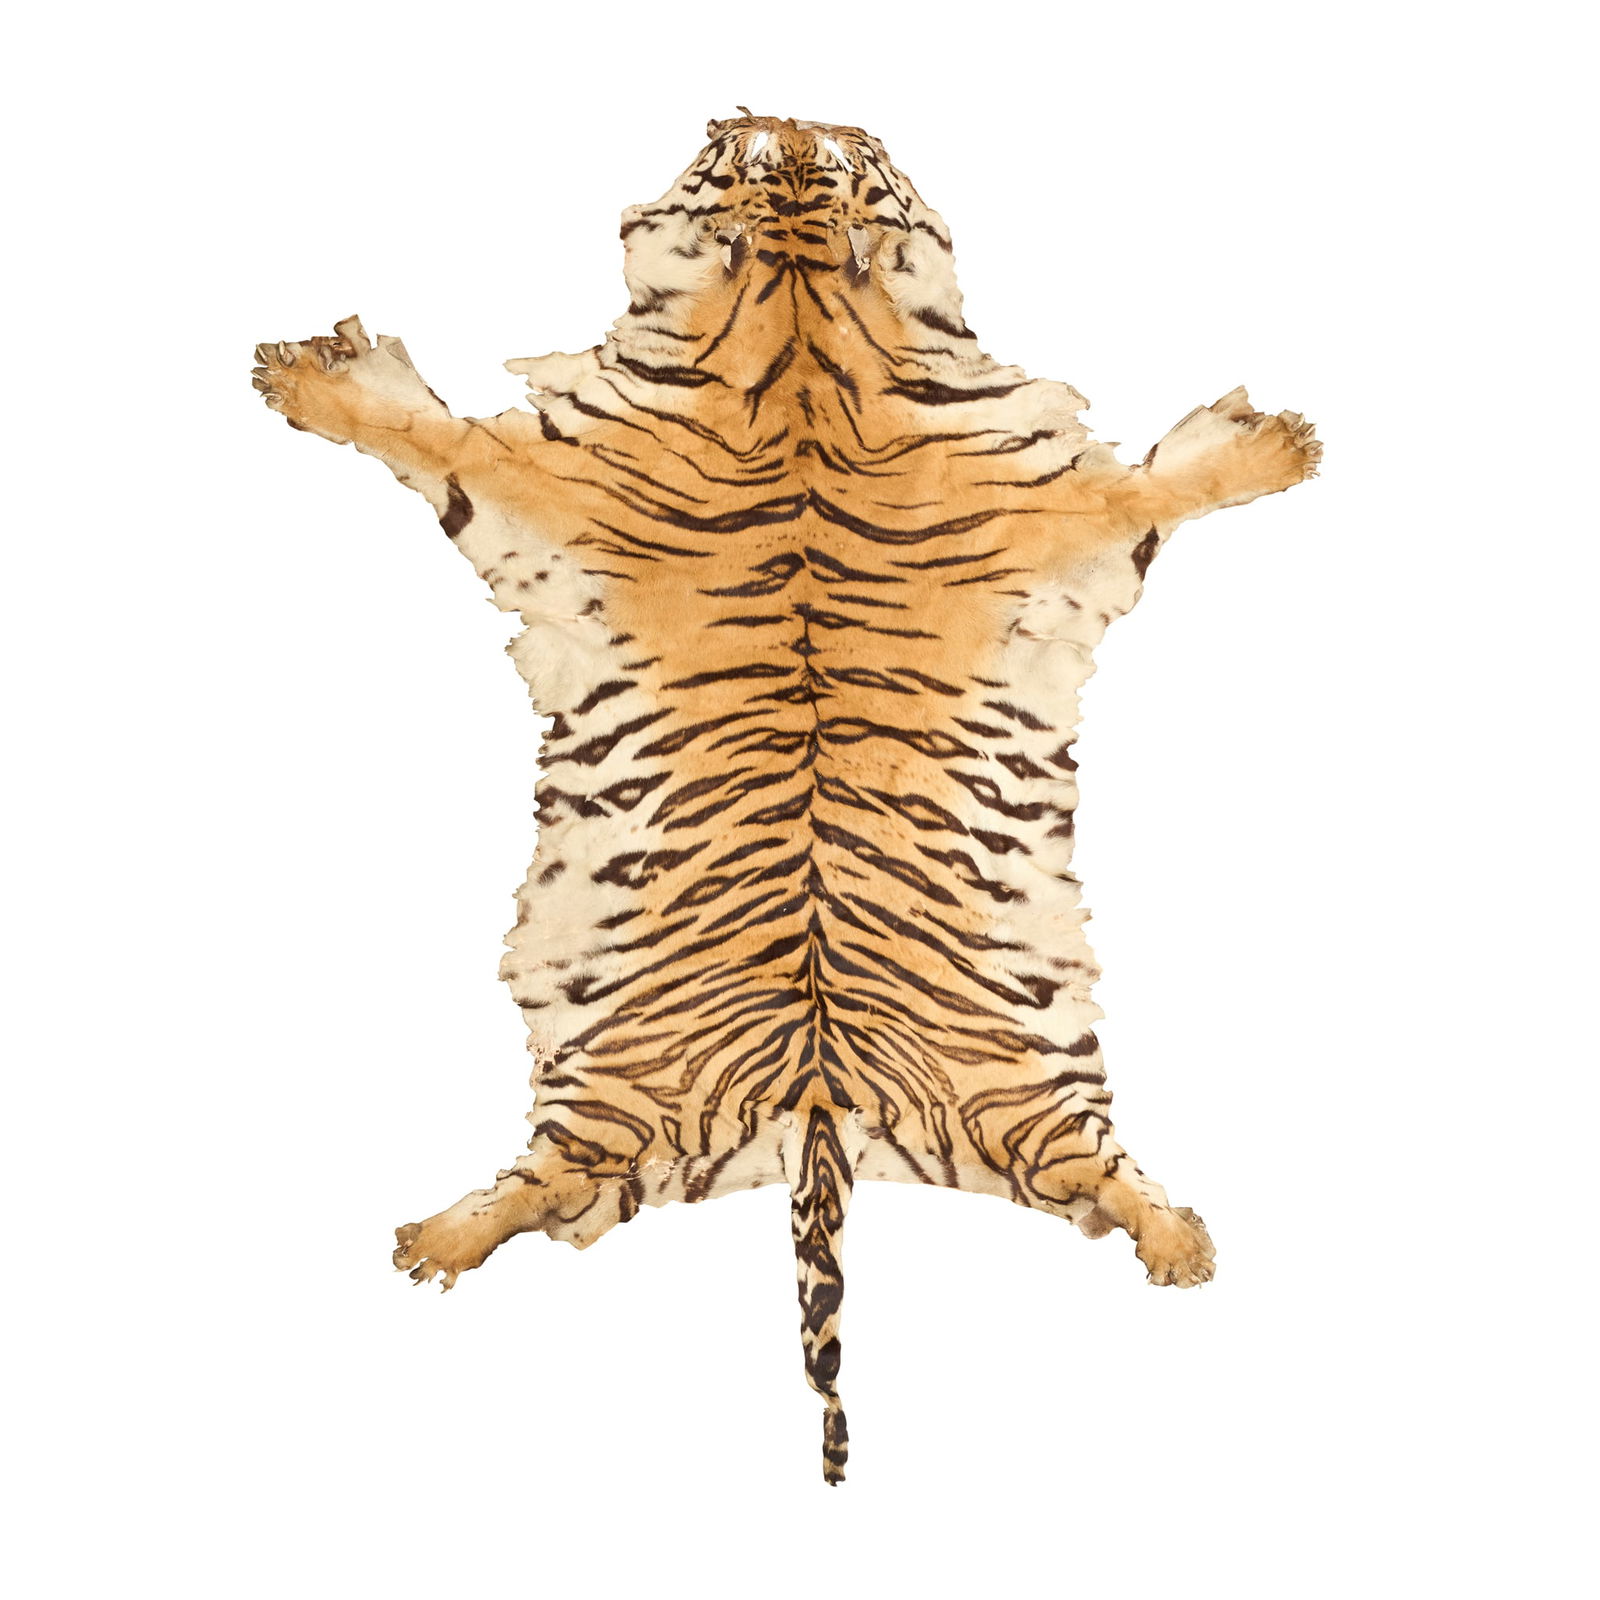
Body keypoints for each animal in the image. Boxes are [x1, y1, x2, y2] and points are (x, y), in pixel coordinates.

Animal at [252, 111, 1318, 1484]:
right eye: (736, 147)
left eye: (857, 147)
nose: (776, 109)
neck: (800, 304)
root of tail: (818, 1116)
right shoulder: (542, 475)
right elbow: (429, 432)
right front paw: (311, 374)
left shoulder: (1066, 505)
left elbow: (1158, 482)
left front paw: (1279, 443)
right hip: (631, 1108)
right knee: (545, 1183)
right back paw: (432, 1237)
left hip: (1018, 1099)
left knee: (1098, 1175)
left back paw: (1184, 1244)